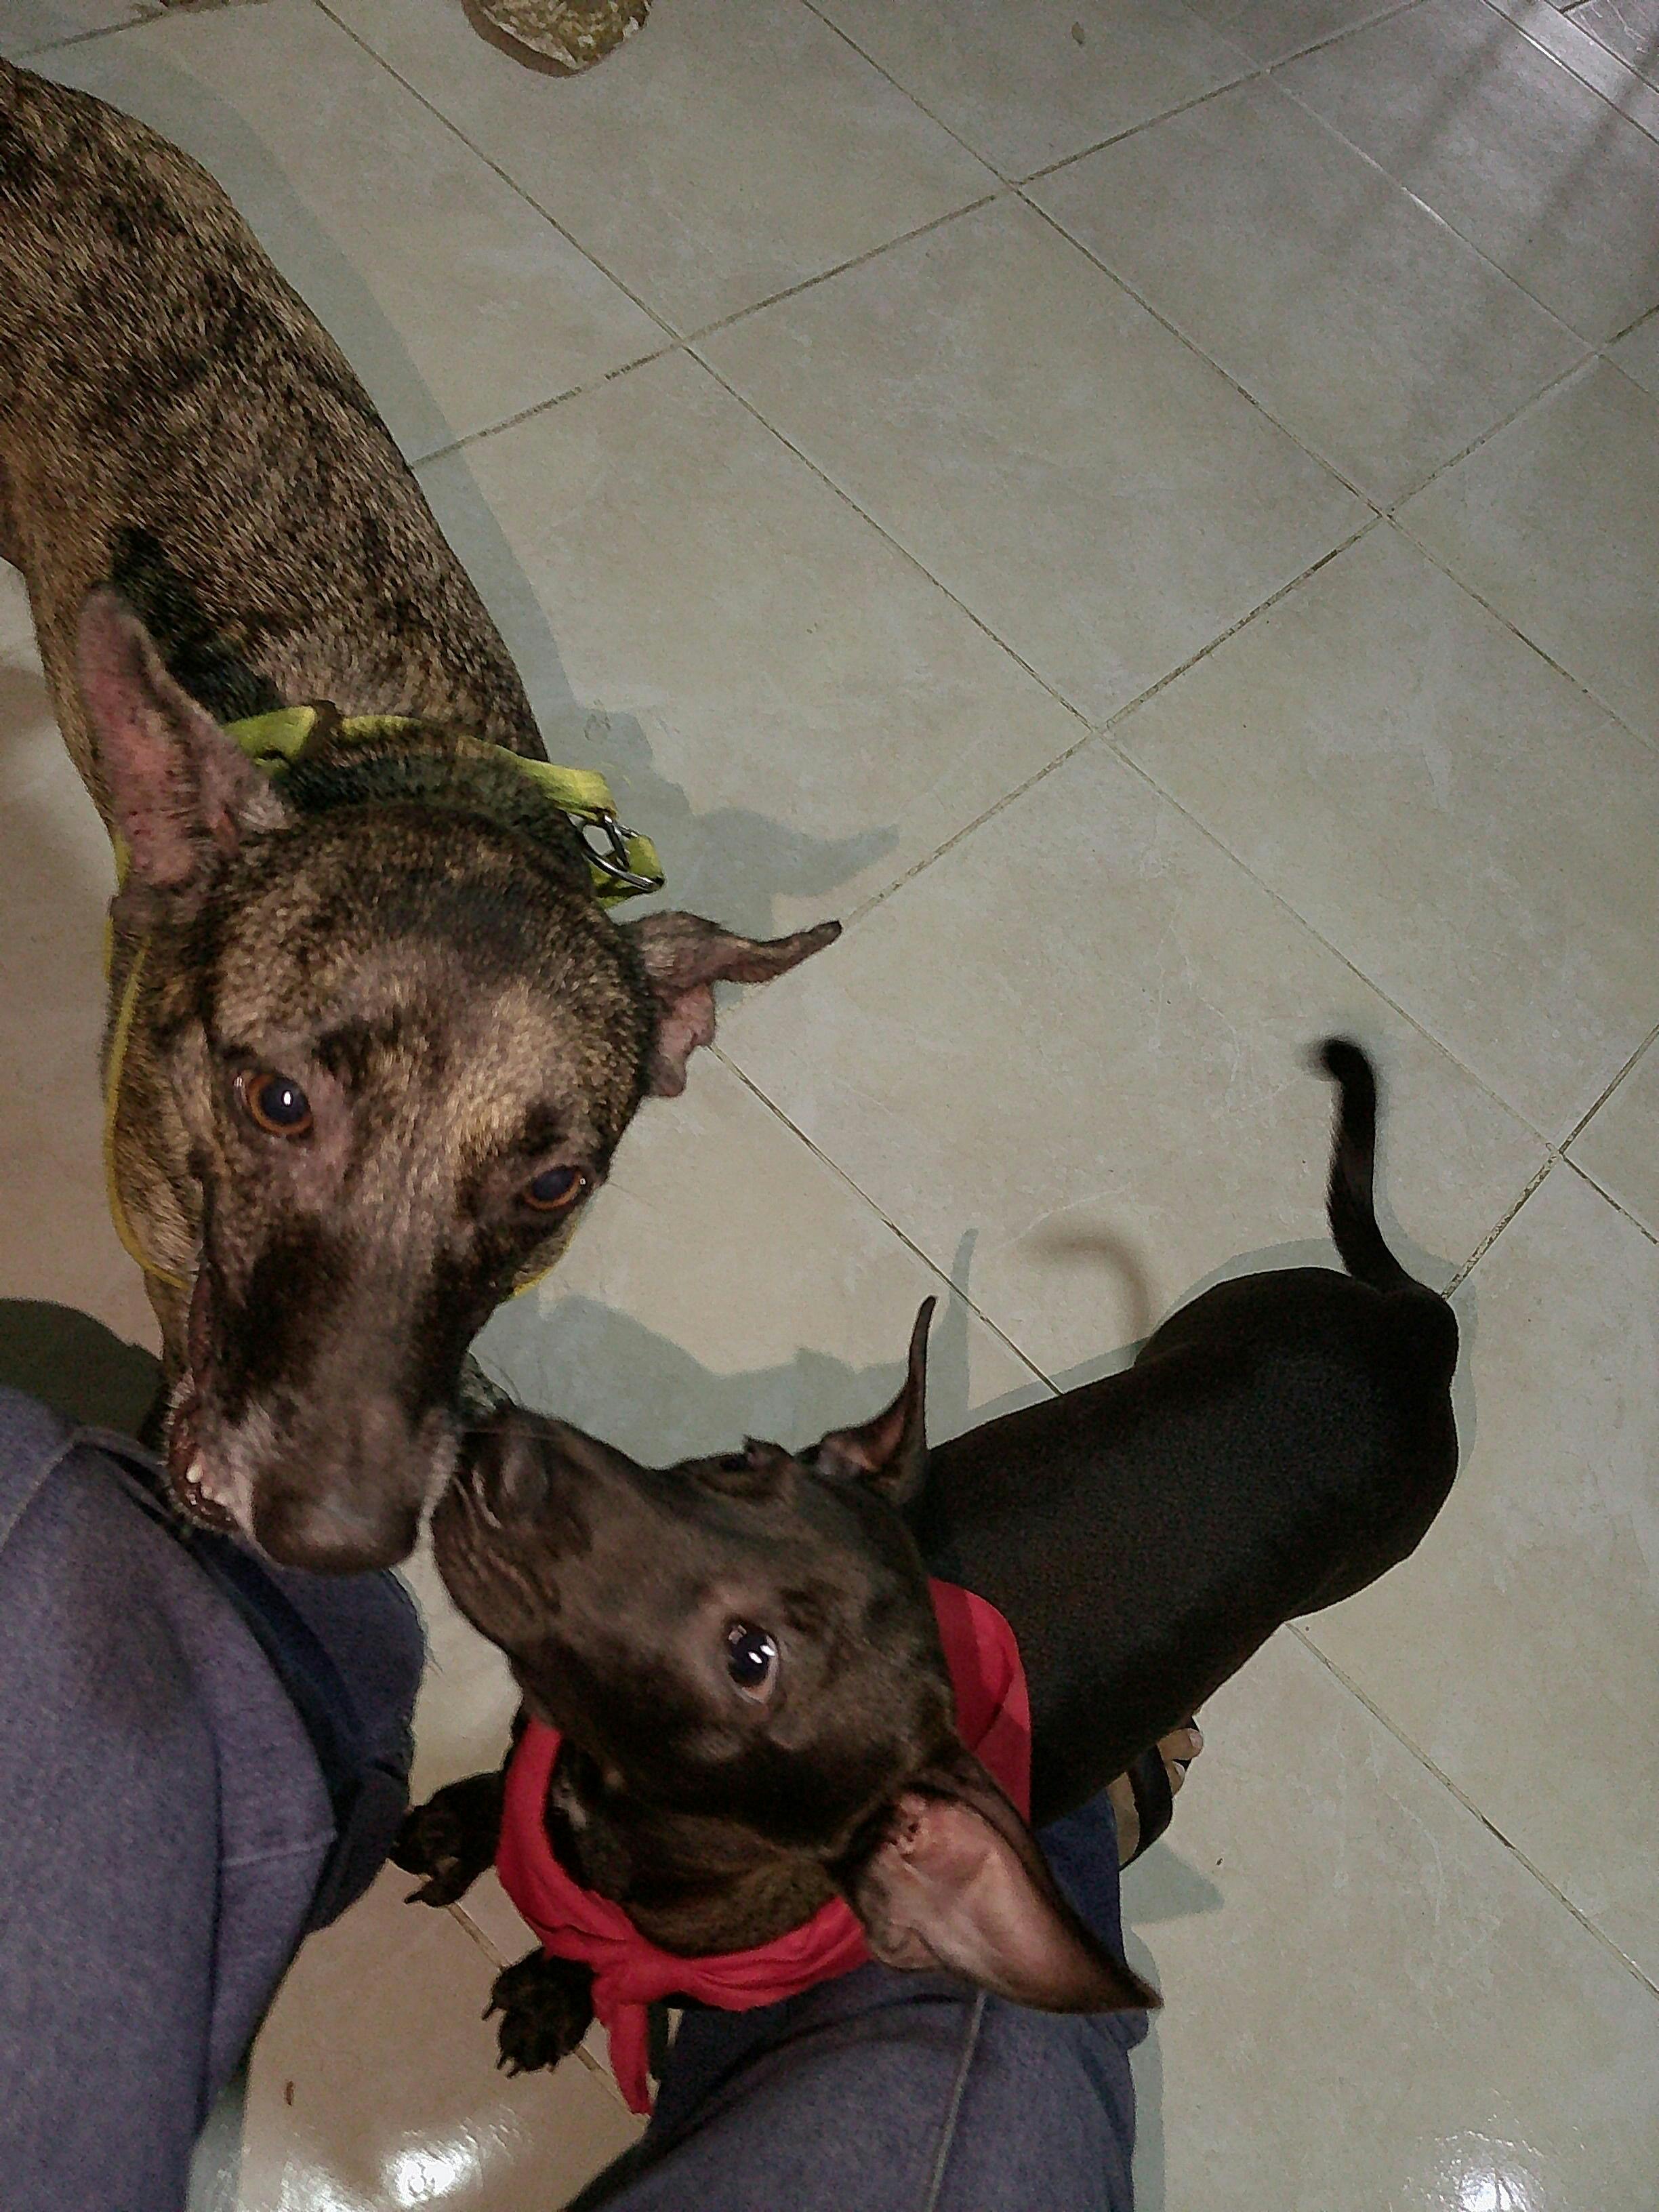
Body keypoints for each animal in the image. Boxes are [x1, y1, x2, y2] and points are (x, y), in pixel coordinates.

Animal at [395, 1040, 1460, 2078]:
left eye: (753, 1659)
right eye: (743, 1461)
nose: (502, 1445)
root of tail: (1418, 1329)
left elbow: (603, 1959)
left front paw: (555, 1987)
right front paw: (469, 1818)